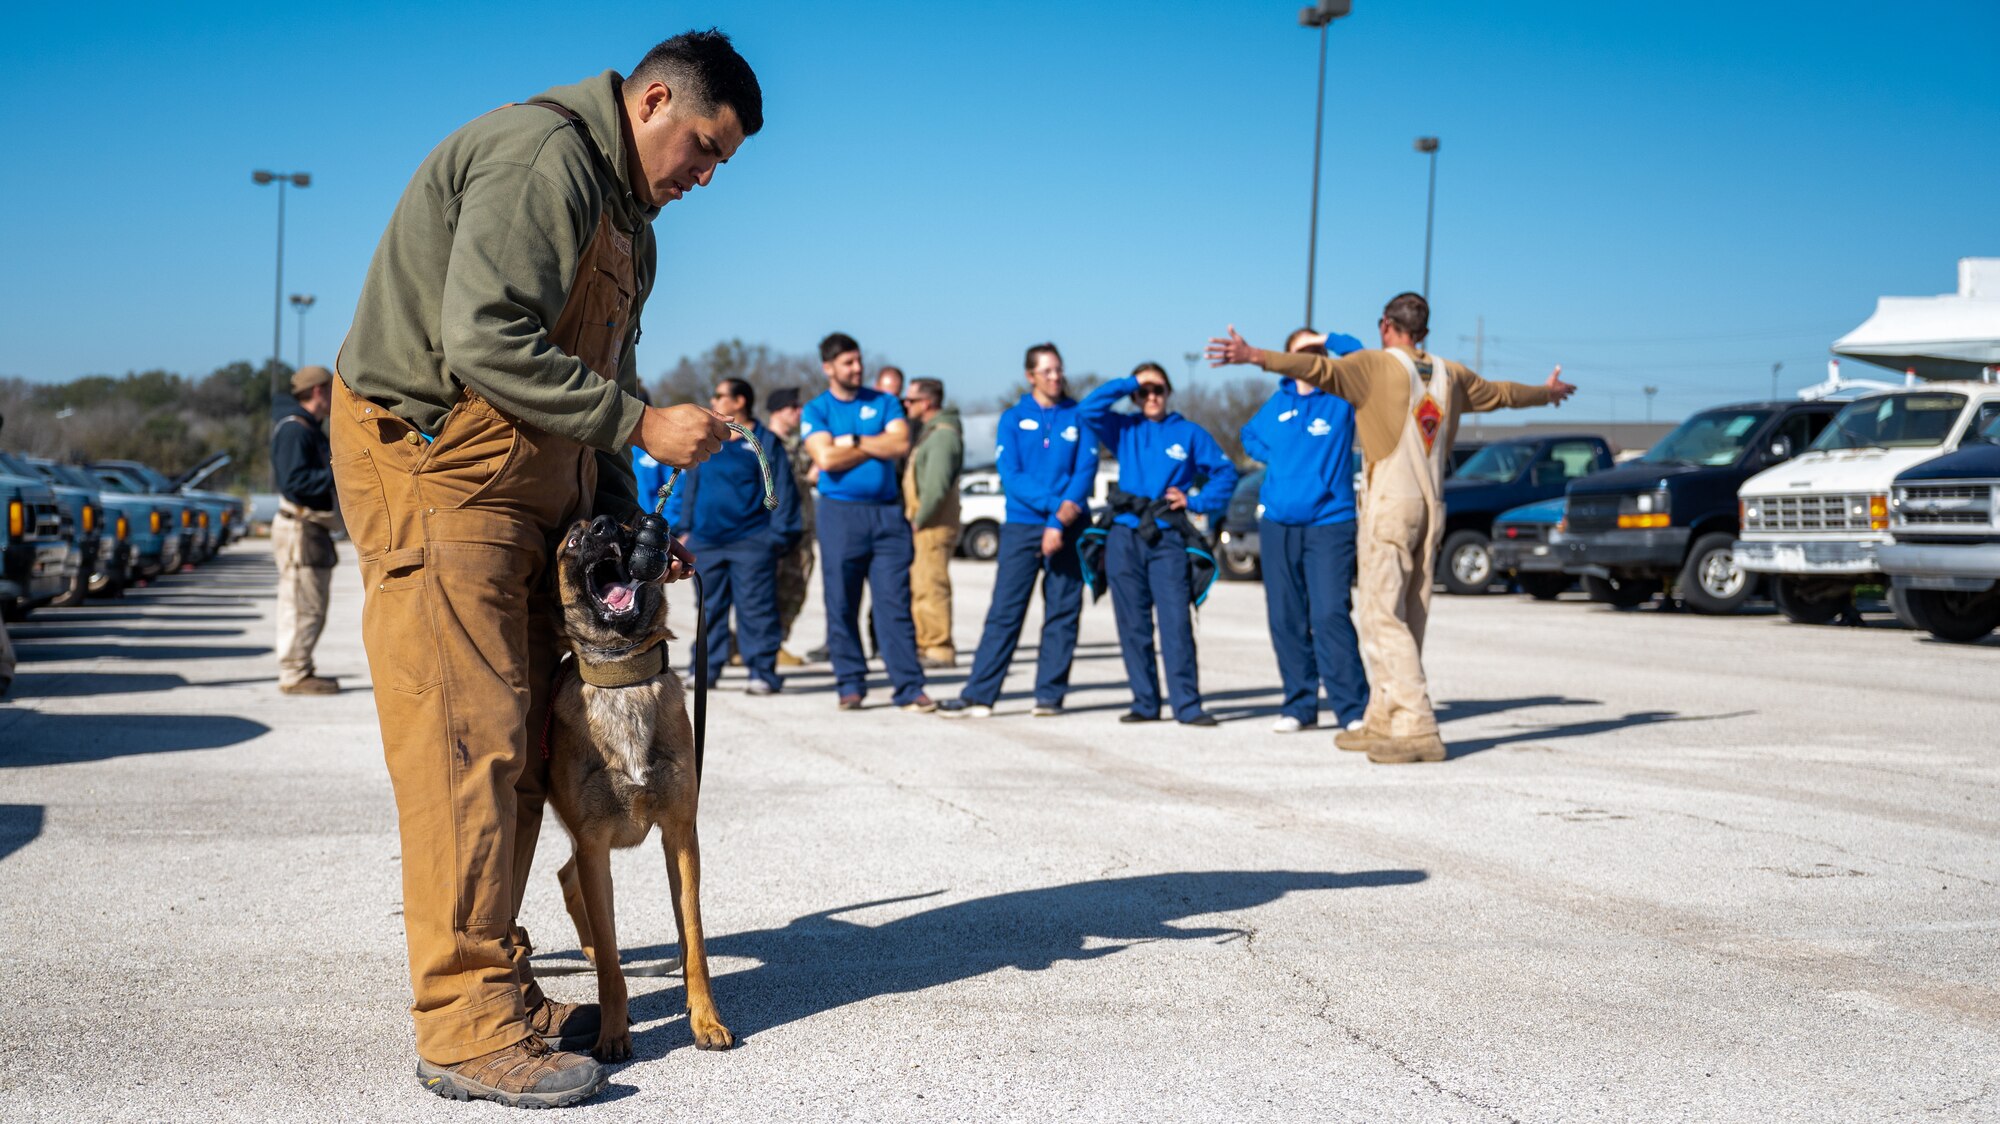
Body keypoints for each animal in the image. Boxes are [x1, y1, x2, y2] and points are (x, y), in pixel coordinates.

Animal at [548, 512, 736, 1056]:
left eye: (627, 529)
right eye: (573, 538)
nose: (604, 525)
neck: (622, 678)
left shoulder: (680, 835)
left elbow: (693, 939)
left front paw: (705, 1019)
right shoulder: (594, 845)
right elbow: (613, 960)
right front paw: (613, 1033)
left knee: (567, 878)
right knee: (577, 894)